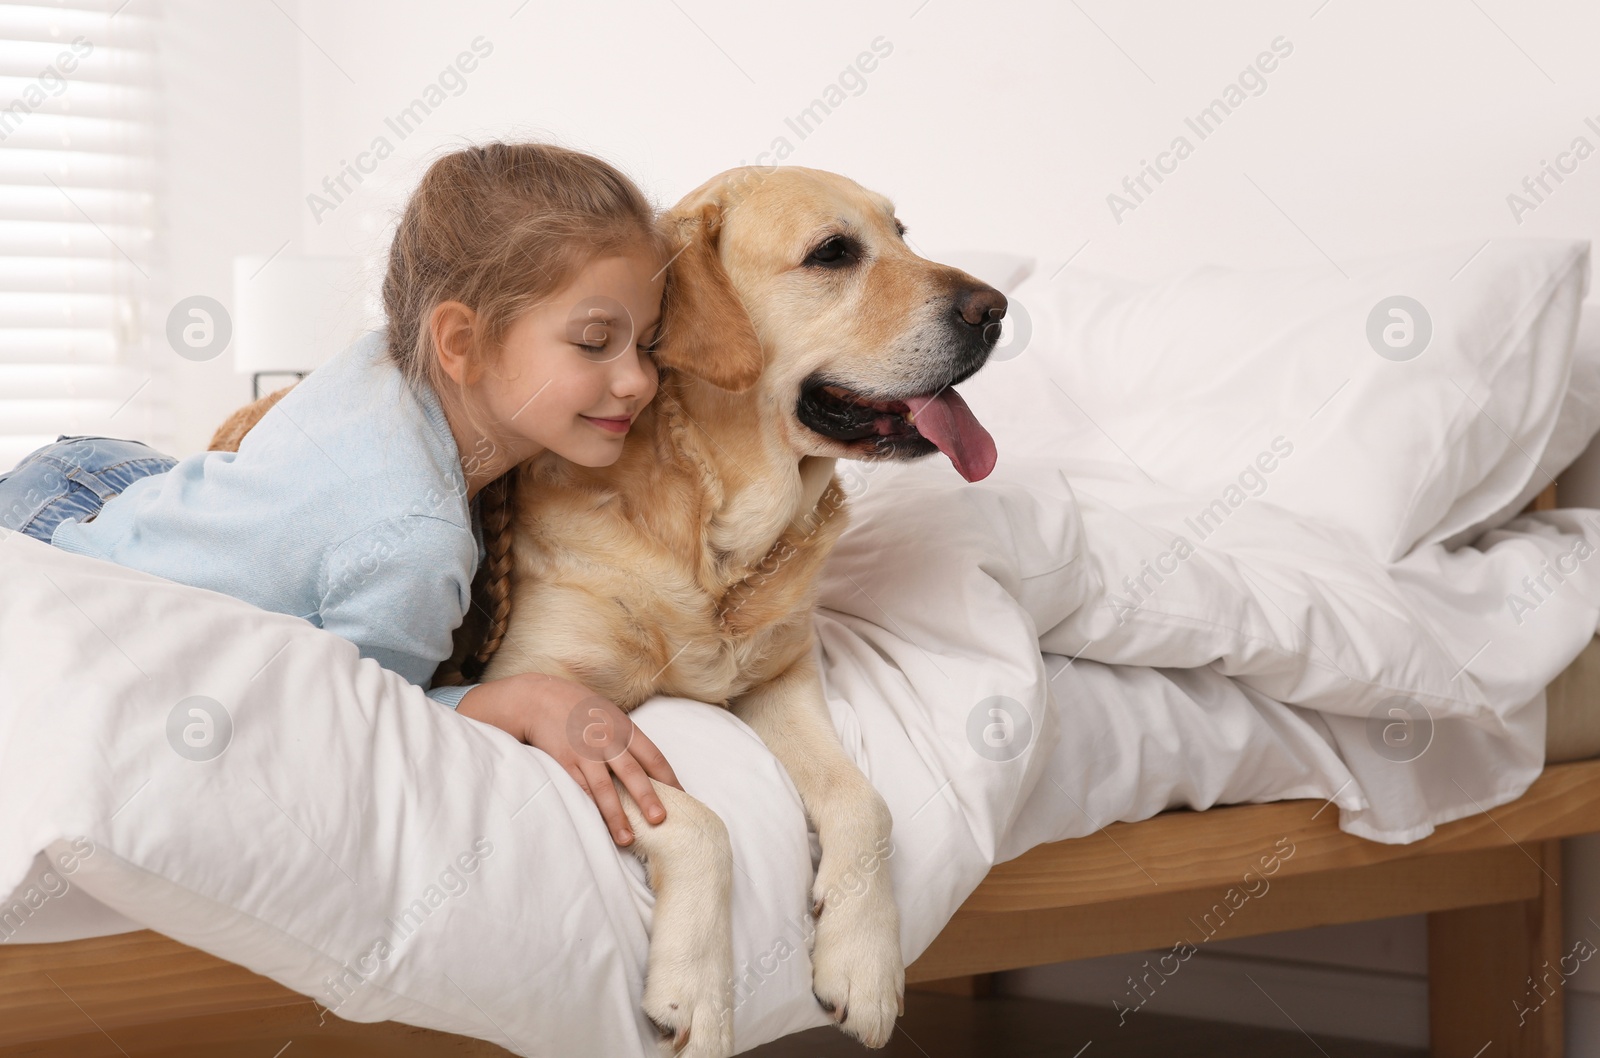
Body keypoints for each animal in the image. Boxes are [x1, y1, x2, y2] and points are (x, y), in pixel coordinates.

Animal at [209, 168, 998, 1049]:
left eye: (902, 232)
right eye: (833, 252)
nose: (994, 308)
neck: (708, 531)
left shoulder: (782, 672)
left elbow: (866, 801)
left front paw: (862, 960)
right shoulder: (540, 685)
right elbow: (700, 822)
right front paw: (699, 995)